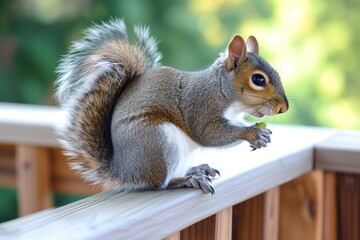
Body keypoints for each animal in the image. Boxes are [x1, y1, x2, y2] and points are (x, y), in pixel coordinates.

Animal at [54, 19, 288, 195]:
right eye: (258, 79)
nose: (283, 108)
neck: (225, 94)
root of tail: (123, 169)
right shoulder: (201, 106)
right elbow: (209, 135)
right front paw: (252, 133)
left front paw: (262, 134)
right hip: (158, 142)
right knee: (159, 184)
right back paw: (186, 180)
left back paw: (196, 169)